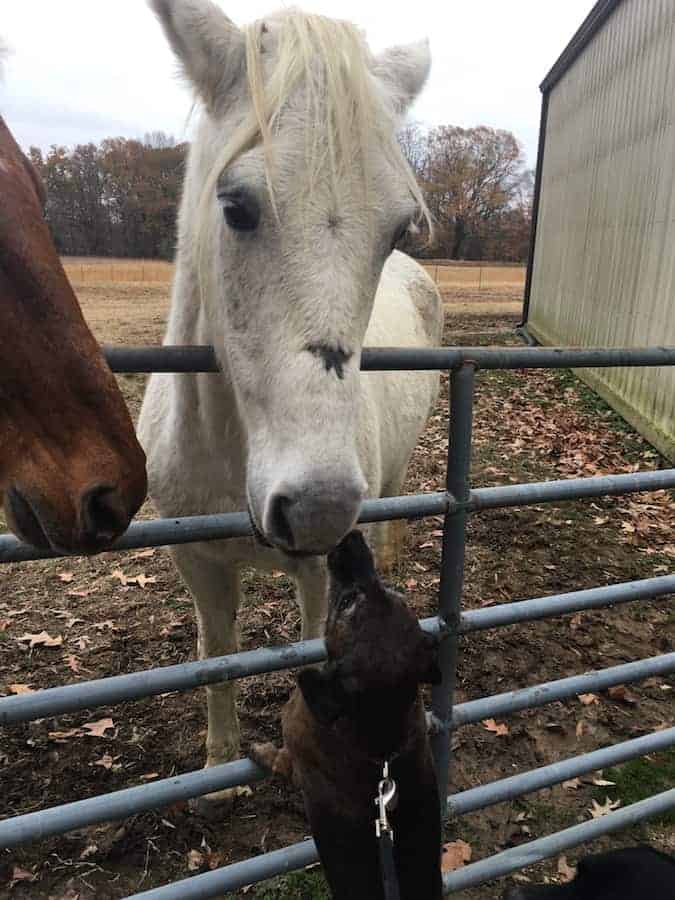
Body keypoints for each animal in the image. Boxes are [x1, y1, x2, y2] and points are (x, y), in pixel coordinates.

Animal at [143, 0, 444, 808]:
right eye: (236, 206)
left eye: (398, 228)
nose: (317, 509)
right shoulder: (197, 564)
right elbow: (216, 654)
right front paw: (218, 769)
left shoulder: (319, 571)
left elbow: (314, 645)